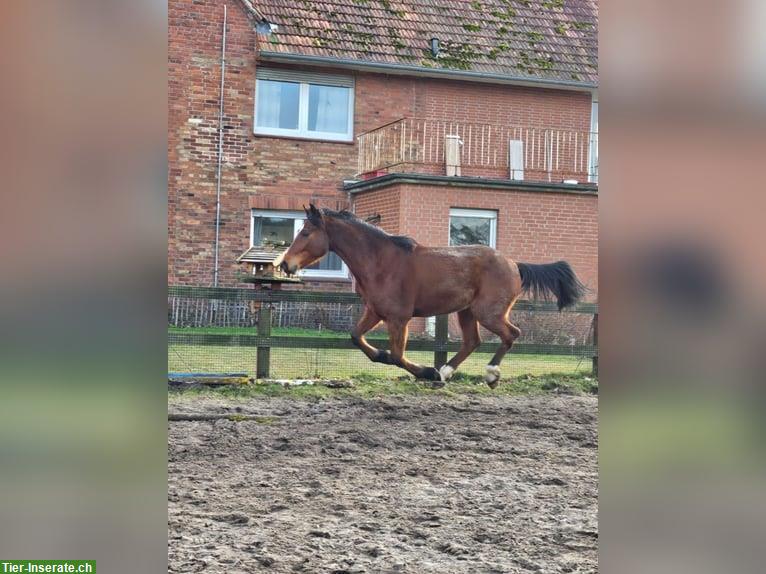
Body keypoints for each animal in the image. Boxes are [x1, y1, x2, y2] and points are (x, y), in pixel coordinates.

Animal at [280, 205, 584, 390]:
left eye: (305, 232)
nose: (285, 264)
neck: (381, 261)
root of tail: (514, 264)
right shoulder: (375, 312)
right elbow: (358, 339)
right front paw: (423, 369)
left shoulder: (398, 318)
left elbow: (397, 357)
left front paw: (426, 371)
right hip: (466, 312)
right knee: (472, 341)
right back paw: (445, 372)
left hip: (488, 312)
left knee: (512, 334)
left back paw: (489, 374)